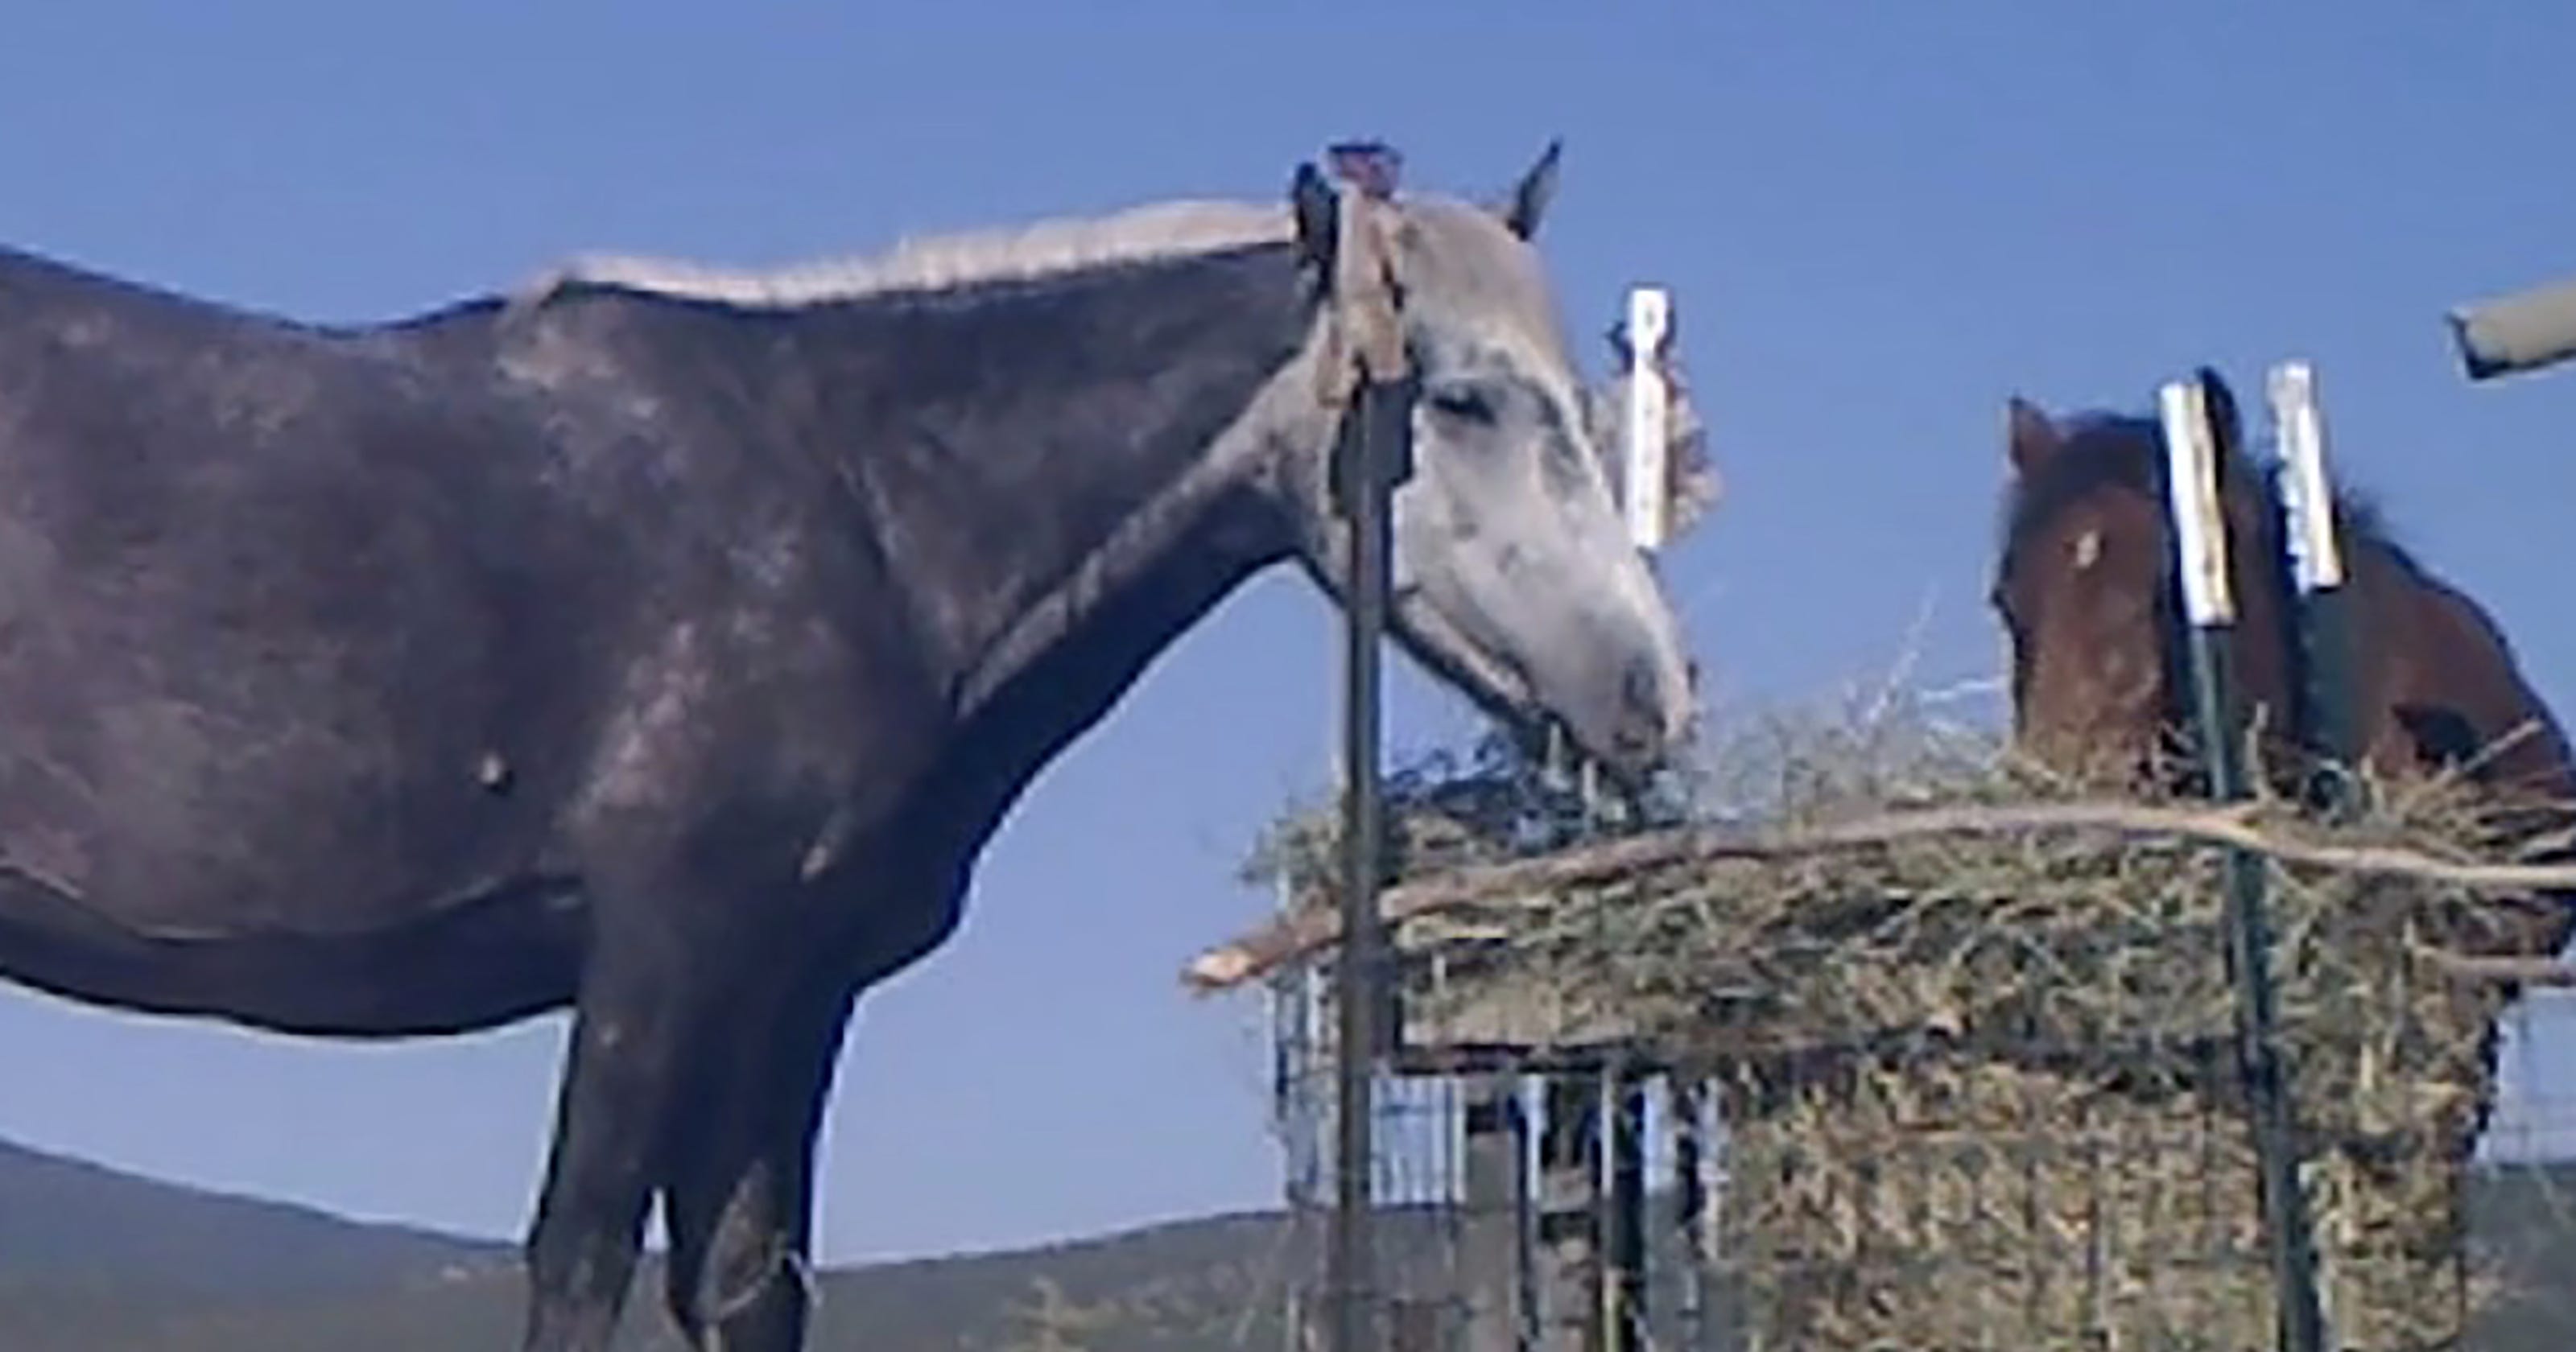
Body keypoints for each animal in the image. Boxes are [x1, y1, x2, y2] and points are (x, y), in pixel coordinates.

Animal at [0, 143, 1698, 1351]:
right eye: (1462, 399)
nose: (1650, 691)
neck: (861, 507)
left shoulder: (790, 987)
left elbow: (750, 1283)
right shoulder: (665, 947)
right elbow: (581, 1259)